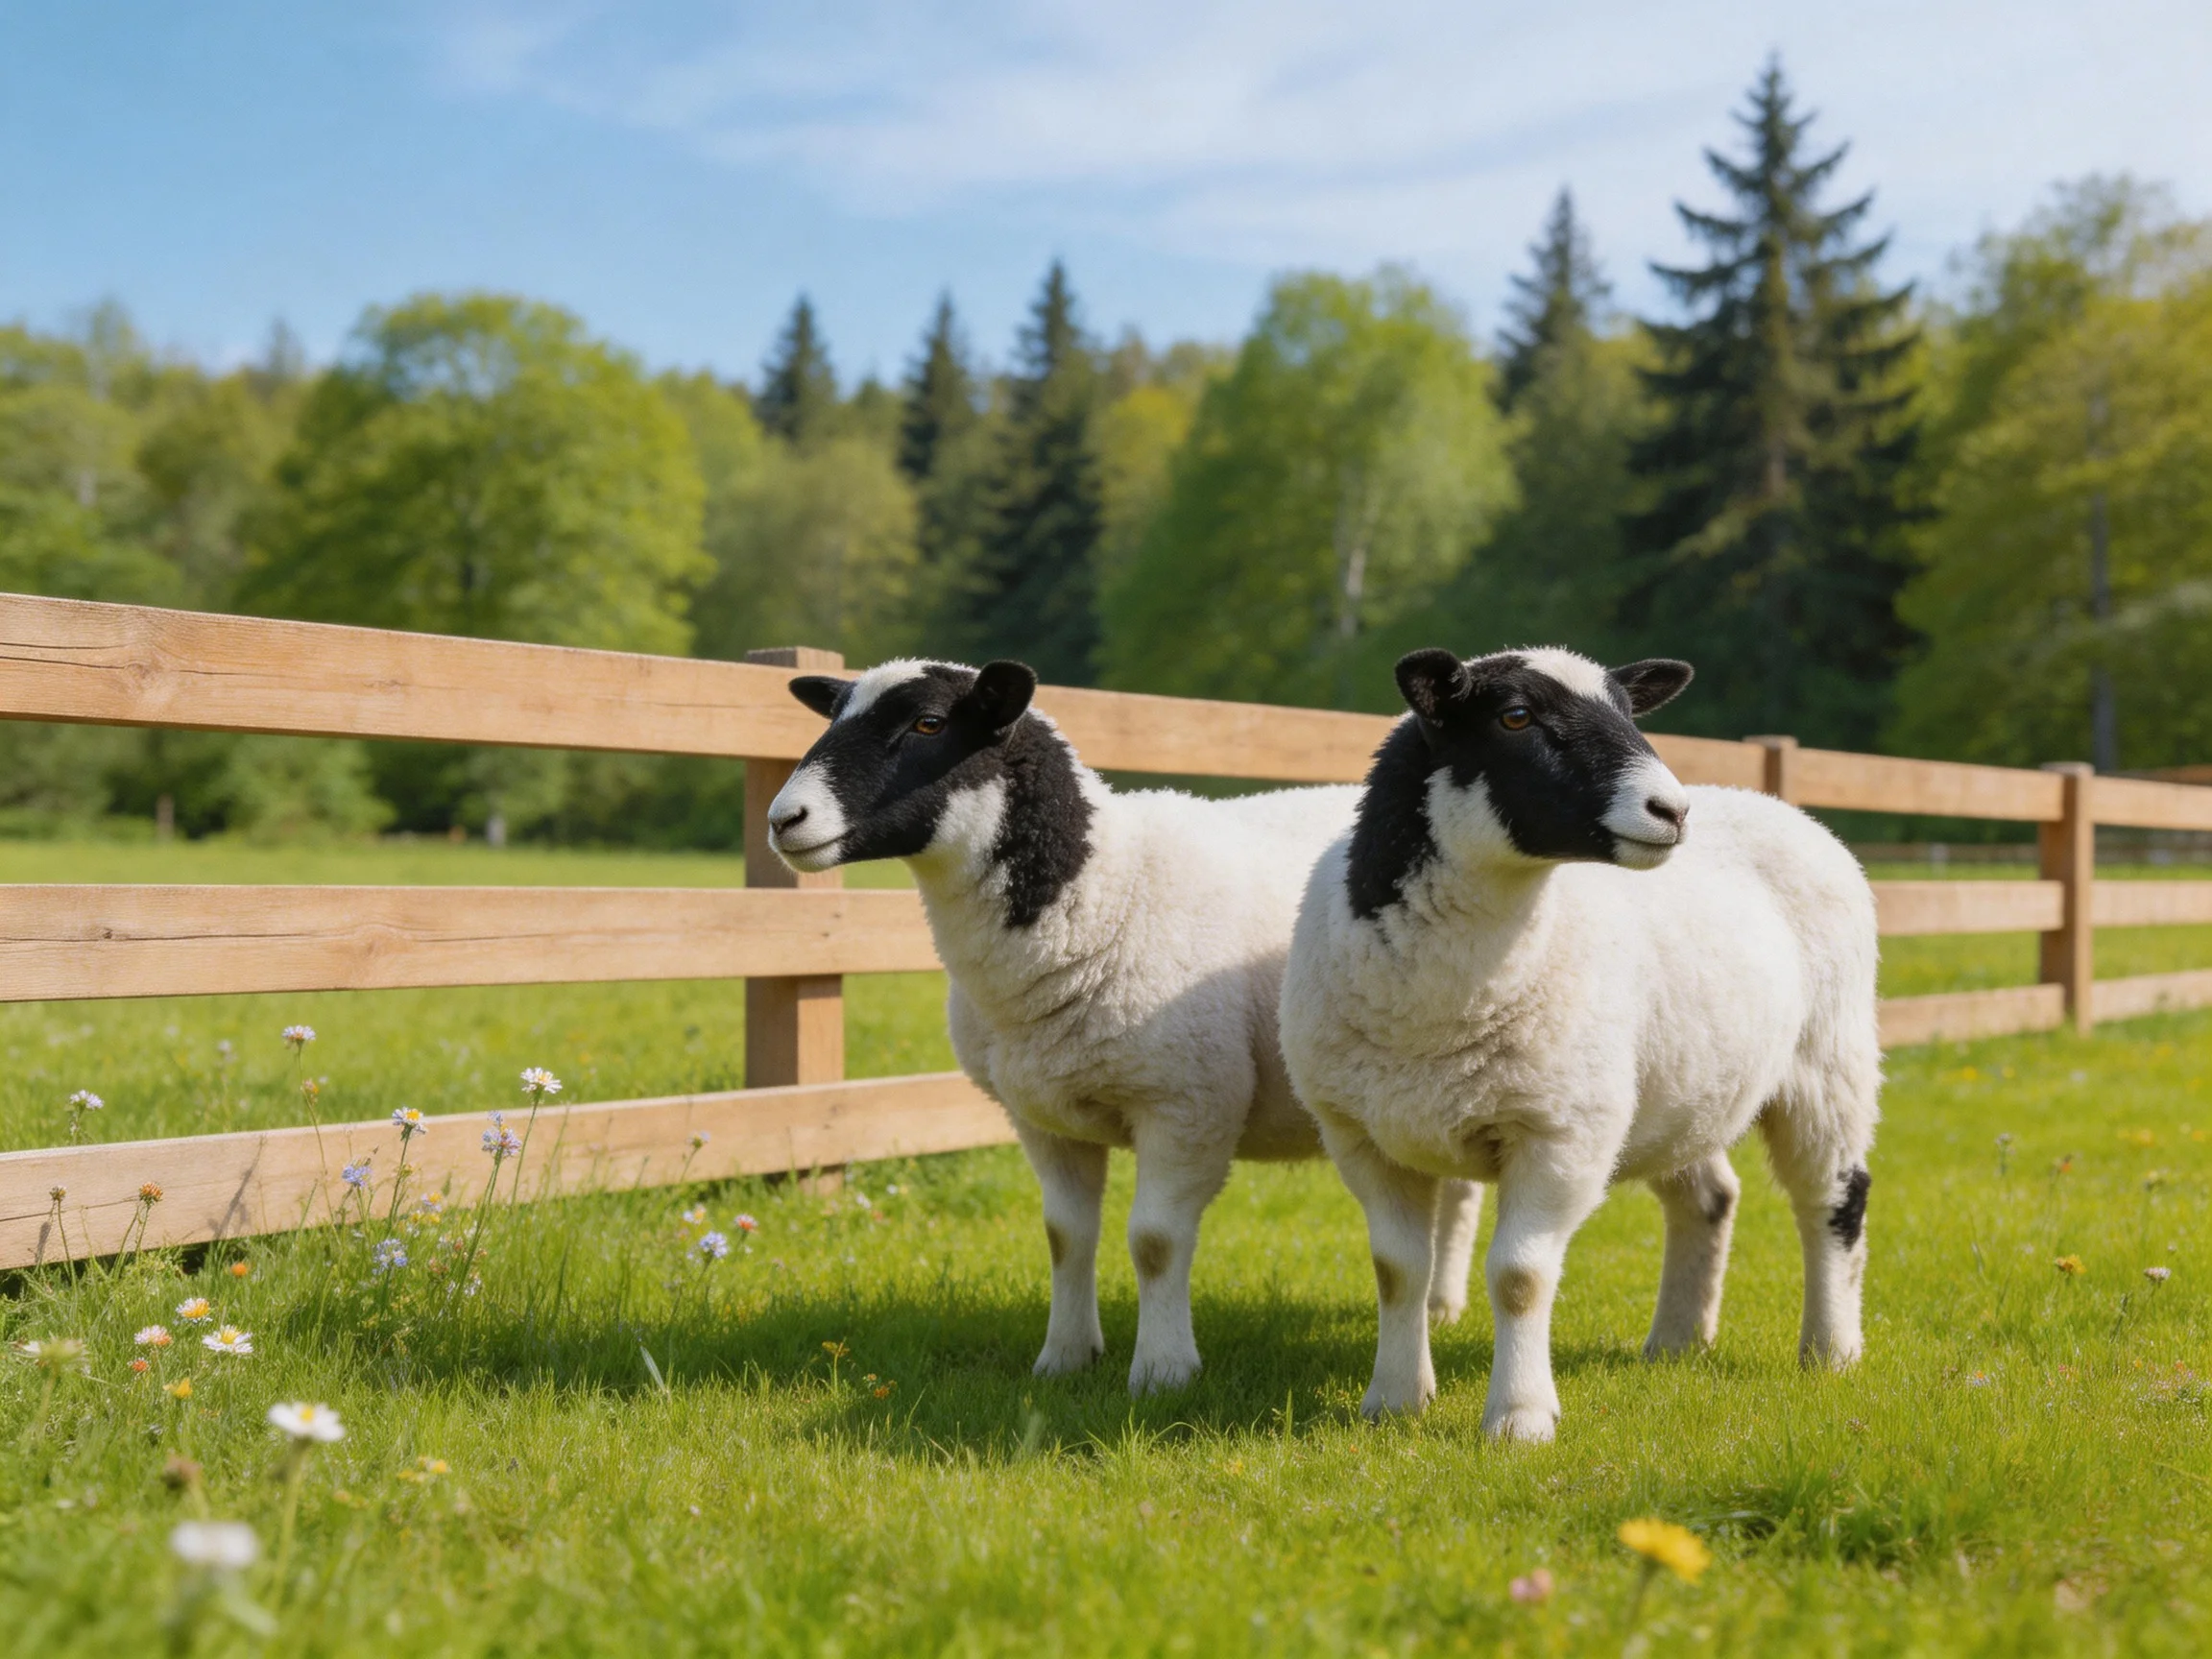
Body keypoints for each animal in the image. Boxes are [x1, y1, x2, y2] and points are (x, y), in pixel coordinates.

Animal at [764, 656, 1484, 1393]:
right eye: (835, 716)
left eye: (929, 723)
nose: (785, 819)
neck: (1101, 888)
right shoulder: (1042, 1116)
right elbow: (1065, 1236)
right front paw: (1064, 1357)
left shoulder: (1186, 1101)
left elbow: (1155, 1242)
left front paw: (1163, 1369)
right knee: (1455, 1190)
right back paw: (1437, 1304)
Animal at [1279, 646, 1880, 1442]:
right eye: (1515, 717)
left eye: (1629, 714)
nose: (1672, 811)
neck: (1444, 1005)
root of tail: (1776, 805)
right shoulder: (1364, 1139)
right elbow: (1397, 1270)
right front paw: (1394, 1401)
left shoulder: (1561, 1132)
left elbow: (1520, 1277)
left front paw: (1520, 1417)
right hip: (1677, 1090)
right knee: (1710, 1197)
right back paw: (1677, 1341)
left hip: (1829, 1059)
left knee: (1833, 1199)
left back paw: (1831, 1350)